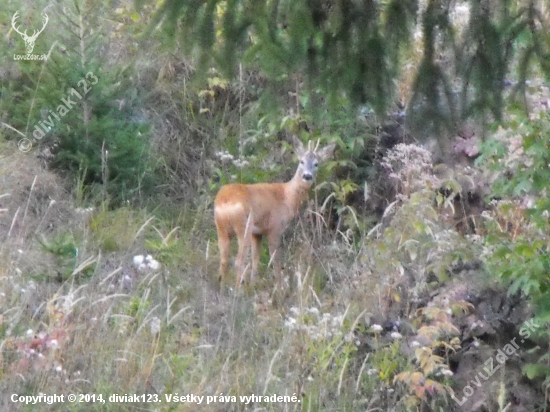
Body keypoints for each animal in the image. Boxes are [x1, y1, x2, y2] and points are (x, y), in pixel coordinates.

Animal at [215, 138, 336, 286]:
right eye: (301, 161)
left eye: (316, 164)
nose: (307, 176)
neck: (287, 196)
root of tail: (224, 201)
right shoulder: (275, 227)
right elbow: (276, 261)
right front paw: (279, 287)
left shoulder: (257, 233)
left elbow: (255, 260)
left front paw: (253, 284)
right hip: (244, 227)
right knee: (238, 262)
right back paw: (238, 290)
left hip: (221, 229)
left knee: (224, 261)